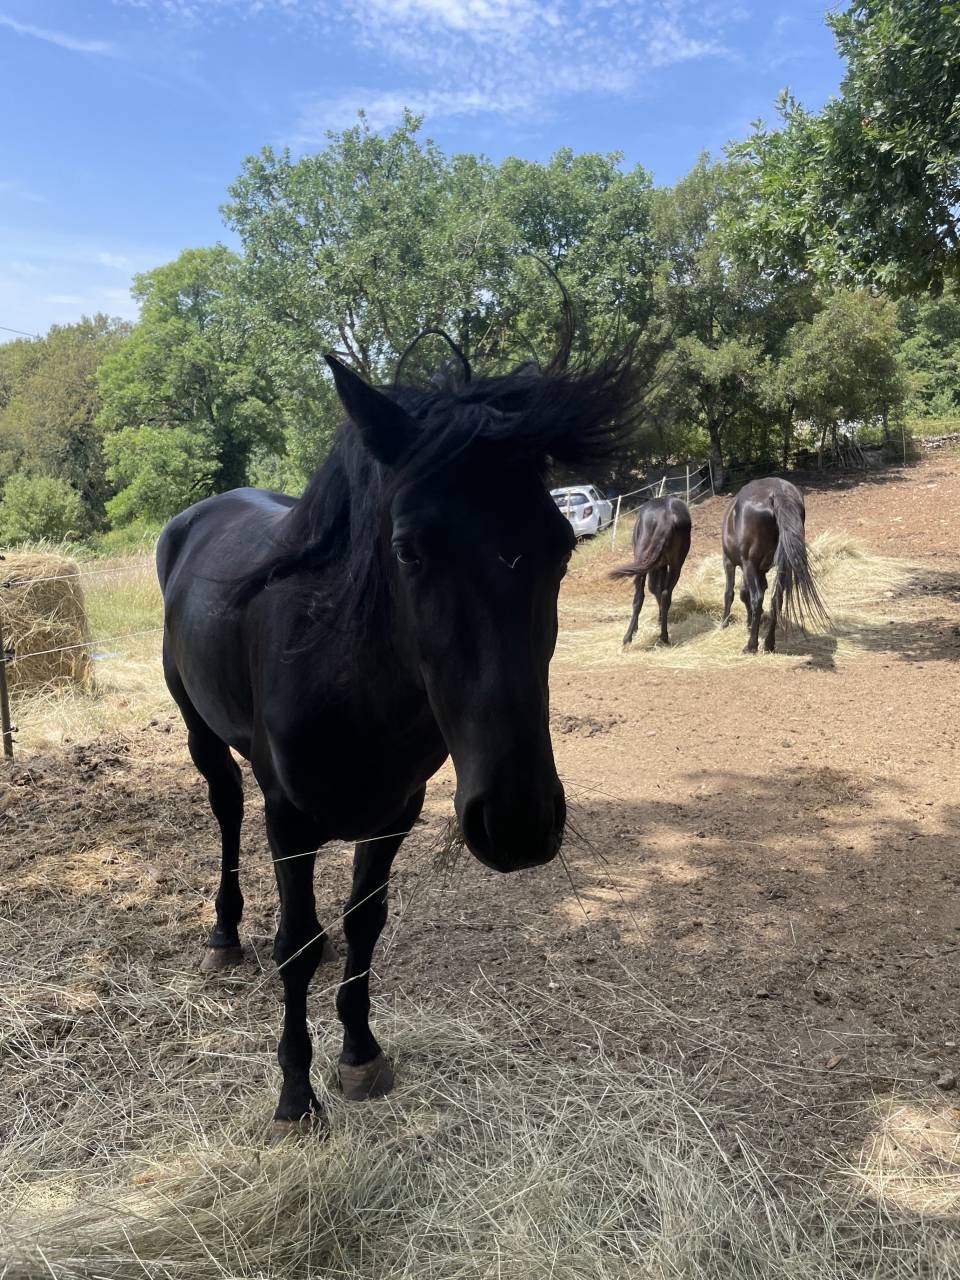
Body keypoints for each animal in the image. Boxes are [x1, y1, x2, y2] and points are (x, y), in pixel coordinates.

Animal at [157, 346, 637, 1133]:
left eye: (562, 548)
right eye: (408, 549)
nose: (518, 821)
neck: (345, 672)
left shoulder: (394, 813)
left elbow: (364, 924)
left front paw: (359, 1054)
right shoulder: (289, 818)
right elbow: (297, 945)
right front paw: (295, 1094)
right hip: (201, 732)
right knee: (225, 808)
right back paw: (224, 935)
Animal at [610, 497, 691, 646]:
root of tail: (667, 516)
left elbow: (651, 589)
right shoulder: (662, 565)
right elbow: (658, 589)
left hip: (643, 559)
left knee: (640, 597)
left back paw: (628, 637)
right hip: (676, 564)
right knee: (665, 594)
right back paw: (664, 637)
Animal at [720, 477, 829, 653]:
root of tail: (777, 493)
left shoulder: (730, 562)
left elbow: (732, 593)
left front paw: (725, 623)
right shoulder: (760, 569)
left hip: (749, 563)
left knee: (757, 599)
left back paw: (751, 646)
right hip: (783, 565)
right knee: (776, 599)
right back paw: (769, 643)